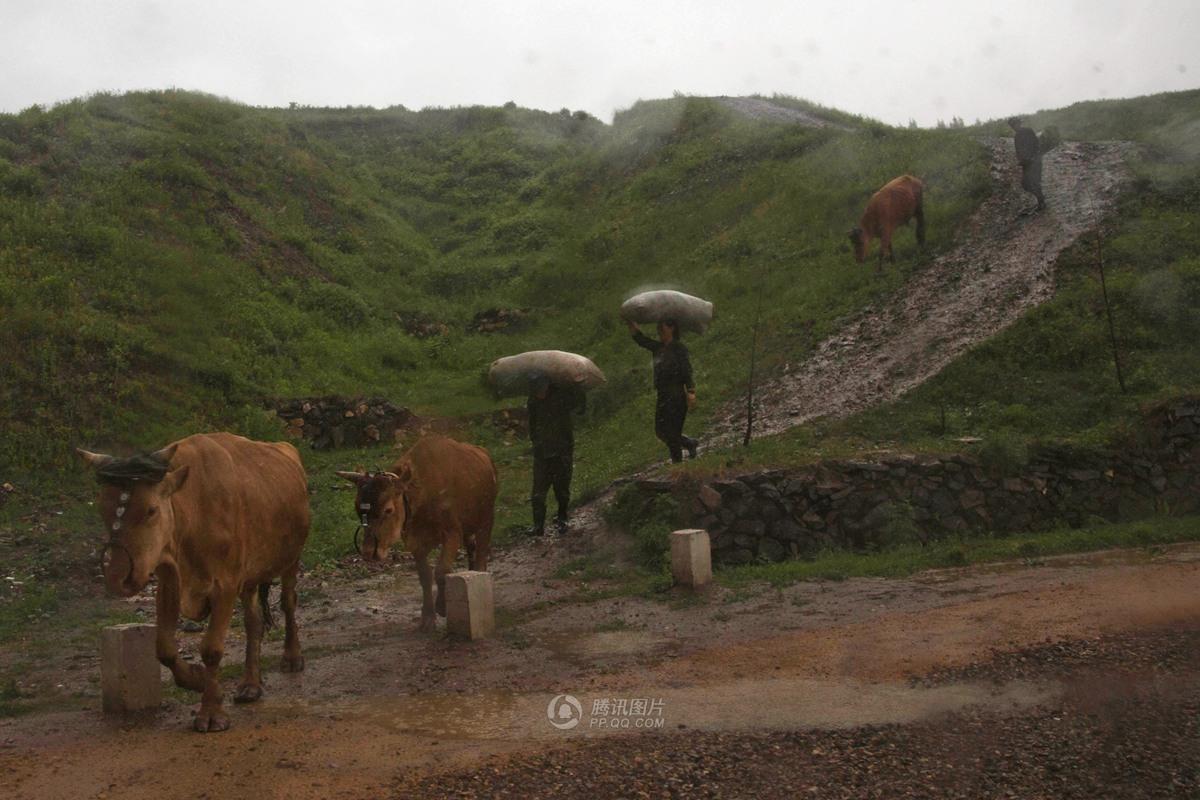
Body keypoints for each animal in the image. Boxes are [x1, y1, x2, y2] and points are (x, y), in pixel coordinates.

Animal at [76, 434, 309, 734]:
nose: (119, 576)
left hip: (291, 559)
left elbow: (211, 649)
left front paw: (211, 711)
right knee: (253, 622)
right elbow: (163, 649)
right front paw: (197, 679)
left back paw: (292, 657)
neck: (192, 512)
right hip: (250, 576)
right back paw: (250, 684)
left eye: (151, 510)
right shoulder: (169, 581)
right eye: (103, 508)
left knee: (288, 603)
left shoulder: (225, 585)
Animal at [340, 438, 499, 633]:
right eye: (357, 507)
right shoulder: (415, 541)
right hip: (469, 528)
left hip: (486, 519)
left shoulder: (452, 532)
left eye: (388, 509)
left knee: (482, 553)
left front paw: (442, 607)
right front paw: (427, 617)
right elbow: (425, 576)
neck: (423, 497)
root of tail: (486, 457)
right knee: (472, 548)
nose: (370, 552)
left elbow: (441, 571)